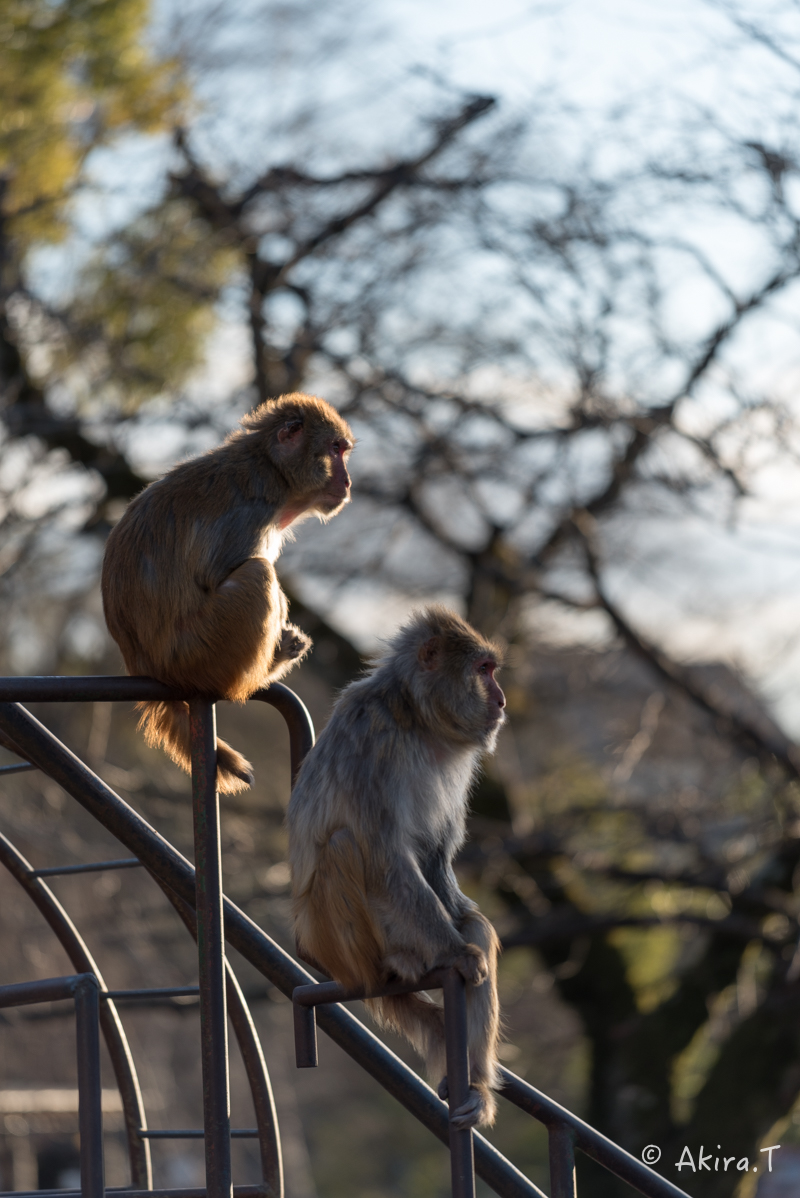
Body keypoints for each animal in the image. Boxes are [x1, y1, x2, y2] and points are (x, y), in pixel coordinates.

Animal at [101, 388, 352, 795]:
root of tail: (144, 664)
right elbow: (217, 572)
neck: (273, 470)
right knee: (257, 574)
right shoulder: (251, 513)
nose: (348, 482)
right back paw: (262, 670)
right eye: (335, 449)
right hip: (198, 653)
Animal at [287, 608, 505, 1130]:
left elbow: (434, 855)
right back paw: (399, 962)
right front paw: (458, 953)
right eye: (484, 670)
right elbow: (386, 852)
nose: (502, 699)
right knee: (345, 846)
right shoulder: (374, 737)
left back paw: (475, 1088)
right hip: (340, 943)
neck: (416, 717)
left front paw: (468, 929)